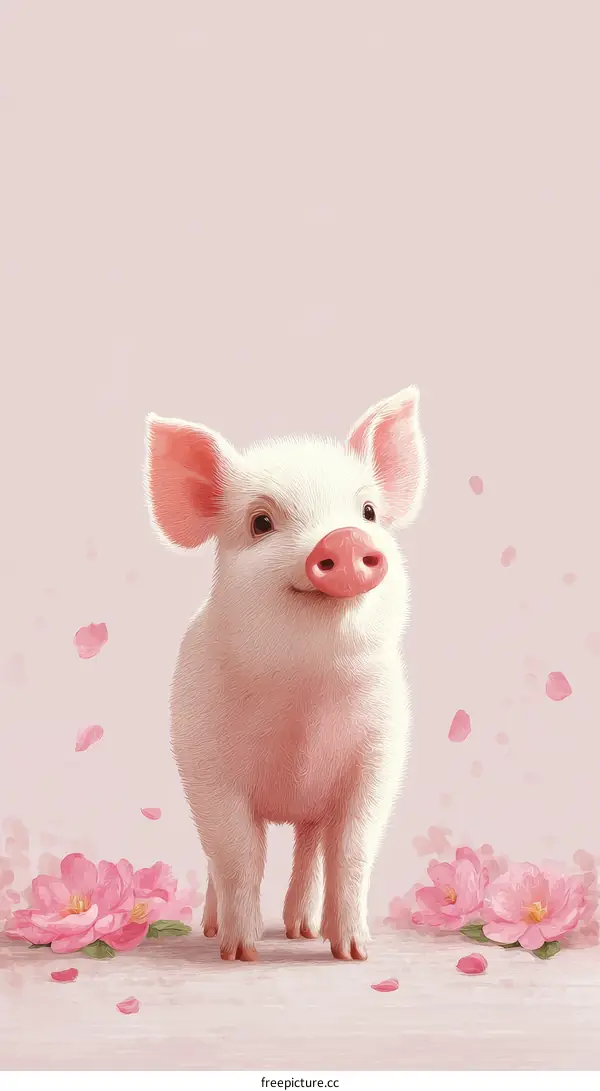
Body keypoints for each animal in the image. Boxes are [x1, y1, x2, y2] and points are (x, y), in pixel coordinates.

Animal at [144, 388, 427, 962]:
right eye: (260, 523)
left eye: (368, 512)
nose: (343, 541)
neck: (306, 694)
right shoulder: (208, 770)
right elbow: (238, 855)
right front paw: (240, 954)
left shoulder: (378, 758)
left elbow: (353, 851)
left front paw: (355, 954)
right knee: (221, 862)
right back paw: (213, 930)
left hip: (316, 808)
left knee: (310, 848)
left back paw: (303, 930)